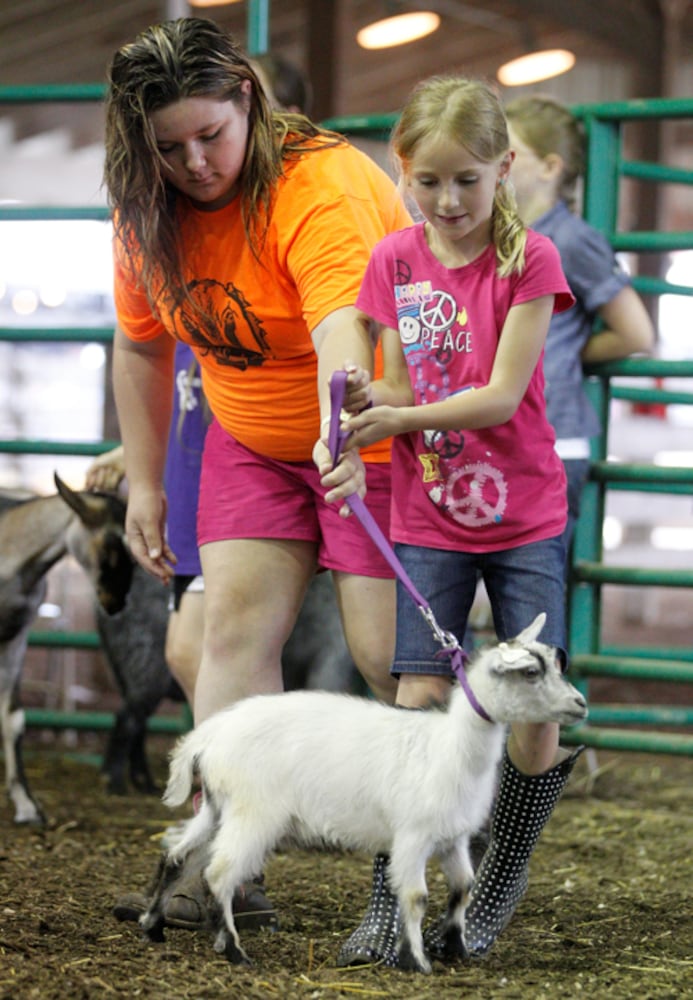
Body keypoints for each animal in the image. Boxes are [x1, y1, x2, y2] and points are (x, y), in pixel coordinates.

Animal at [143, 612, 588, 972]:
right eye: (530, 673)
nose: (581, 704)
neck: (451, 746)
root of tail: (209, 735)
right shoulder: (413, 836)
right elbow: (415, 896)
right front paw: (415, 961)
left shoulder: (453, 837)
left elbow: (463, 887)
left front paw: (455, 946)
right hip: (253, 812)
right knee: (218, 873)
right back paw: (234, 950)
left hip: (217, 807)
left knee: (176, 854)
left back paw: (152, 926)